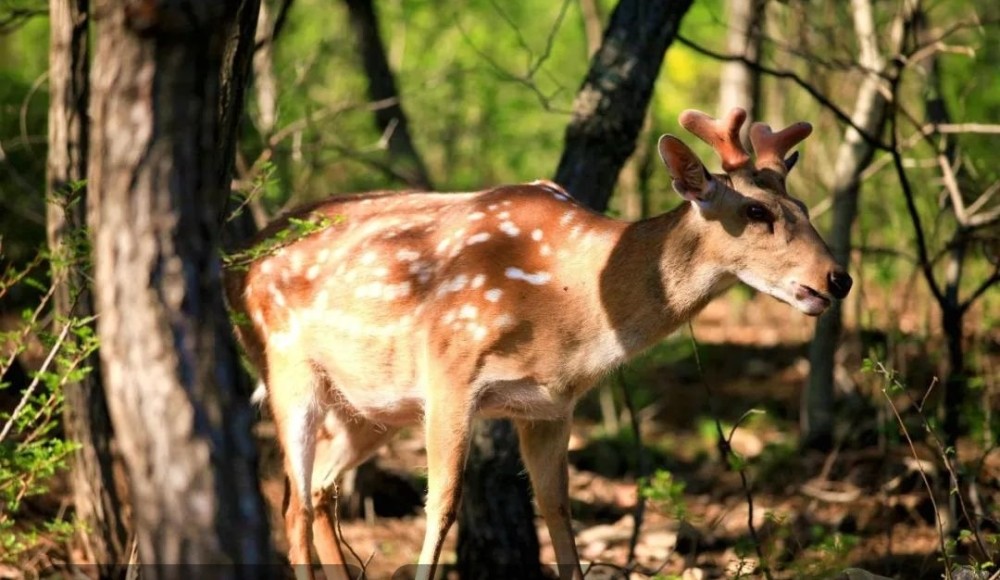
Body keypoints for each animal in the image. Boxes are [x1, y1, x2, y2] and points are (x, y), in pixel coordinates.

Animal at [225, 109, 852, 580]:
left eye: (802, 207)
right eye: (756, 210)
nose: (837, 279)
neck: (572, 310)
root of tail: (235, 265)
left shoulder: (549, 405)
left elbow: (558, 511)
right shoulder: (451, 370)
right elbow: (442, 505)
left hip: (370, 406)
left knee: (320, 491)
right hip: (285, 367)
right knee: (294, 504)